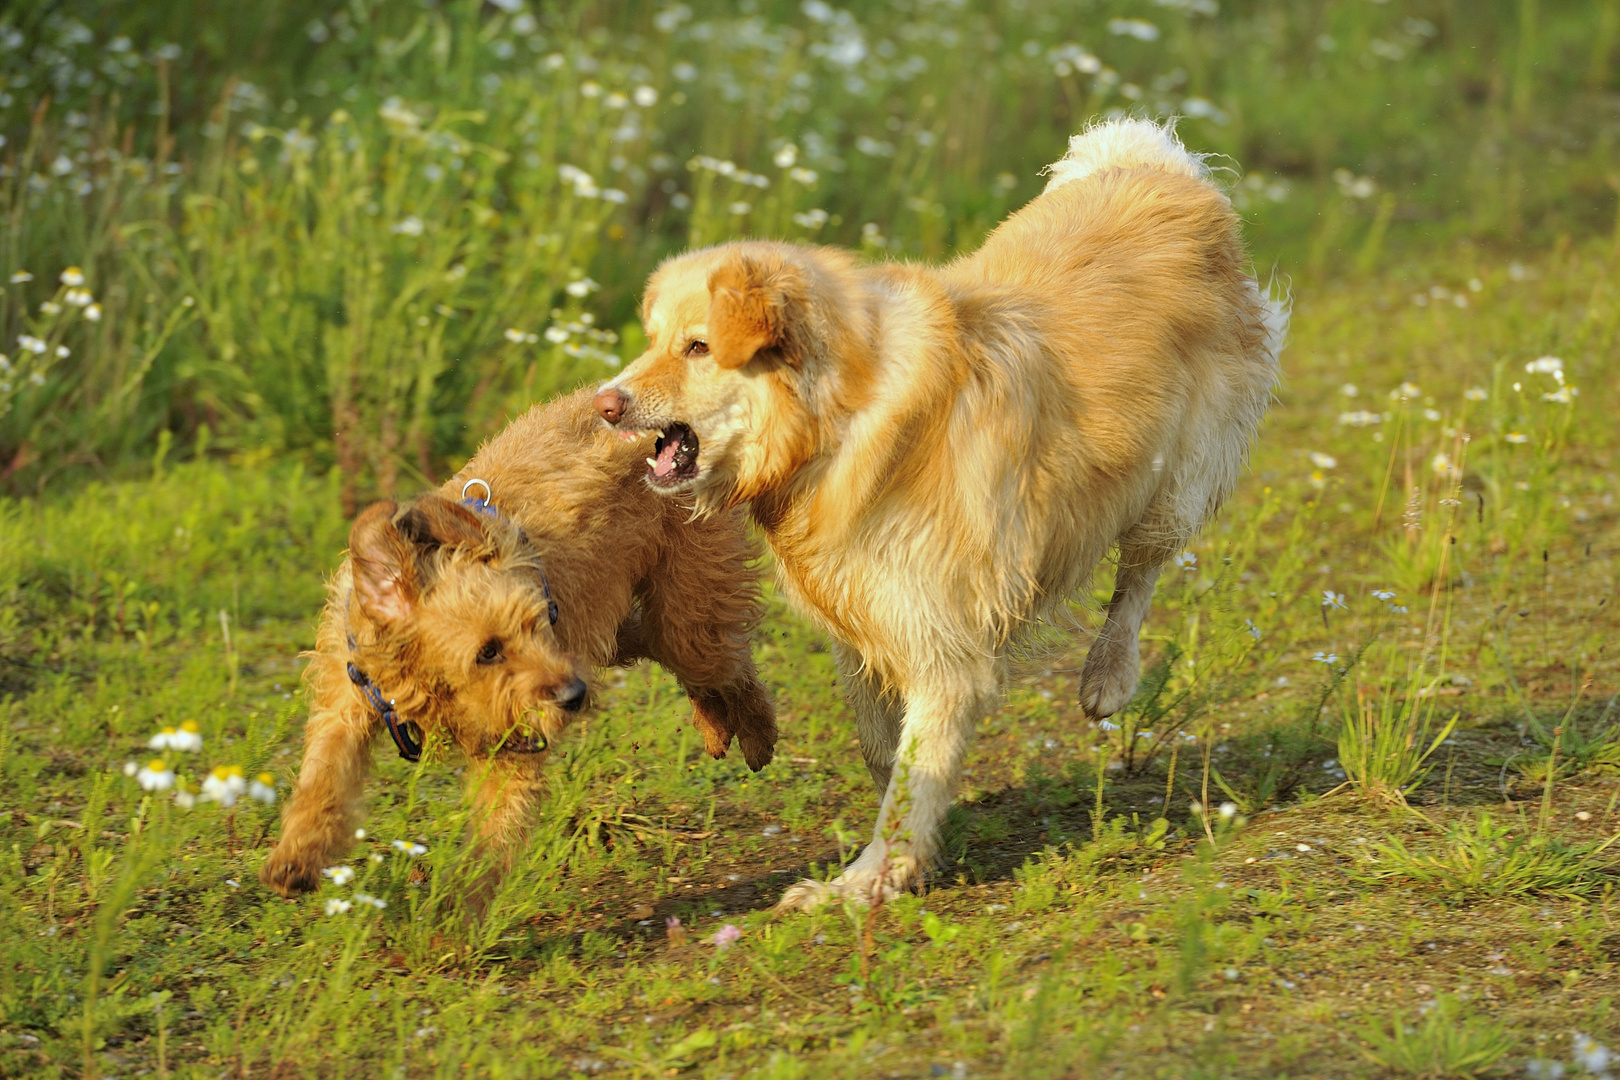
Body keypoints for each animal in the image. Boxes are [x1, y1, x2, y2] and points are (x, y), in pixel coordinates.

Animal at [589, 120, 1283, 913]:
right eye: (653, 341)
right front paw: (909, 847)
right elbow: (885, 749)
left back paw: (1107, 675)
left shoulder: (940, 637)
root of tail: (1160, 167)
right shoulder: (864, 613)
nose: (602, 404)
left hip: (1178, 478)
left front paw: (865, 882)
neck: (841, 420)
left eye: (698, 346)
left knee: (1142, 568)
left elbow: (913, 766)